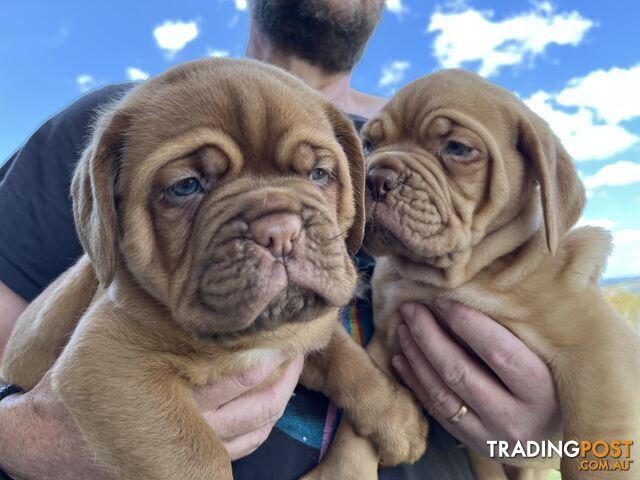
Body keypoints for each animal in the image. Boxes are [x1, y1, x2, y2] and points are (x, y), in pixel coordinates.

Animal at [3, 59, 430, 480]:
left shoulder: (304, 330)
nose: (281, 232)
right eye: (186, 186)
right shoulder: (106, 364)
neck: (252, 338)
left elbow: (349, 360)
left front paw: (398, 418)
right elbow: (195, 457)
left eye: (318, 174)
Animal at [308, 67, 636, 480]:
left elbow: (598, 437)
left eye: (458, 149)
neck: (456, 277)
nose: (374, 177)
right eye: (367, 146)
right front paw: (343, 470)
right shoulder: (387, 337)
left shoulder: (598, 351)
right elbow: (364, 410)